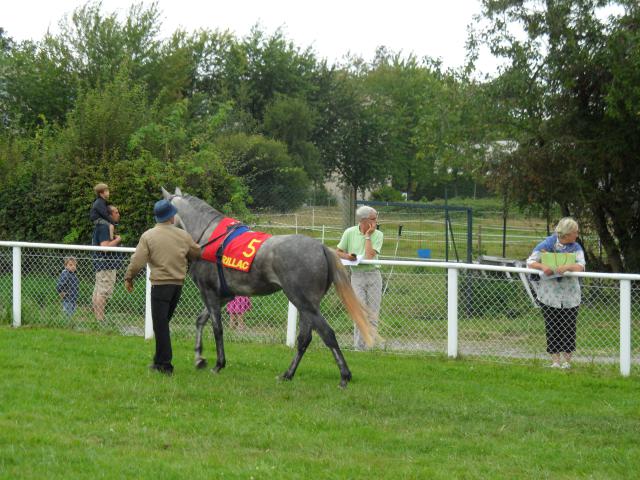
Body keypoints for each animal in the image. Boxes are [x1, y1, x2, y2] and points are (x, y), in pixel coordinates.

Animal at [162, 186, 376, 388]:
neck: (209, 236)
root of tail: (321, 247)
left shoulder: (209, 292)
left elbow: (217, 328)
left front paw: (218, 364)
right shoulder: (224, 296)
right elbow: (200, 321)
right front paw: (199, 358)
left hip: (302, 301)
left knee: (327, 334)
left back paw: (344, 376)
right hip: (307, 305)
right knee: (304, 339)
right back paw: (288, 374)